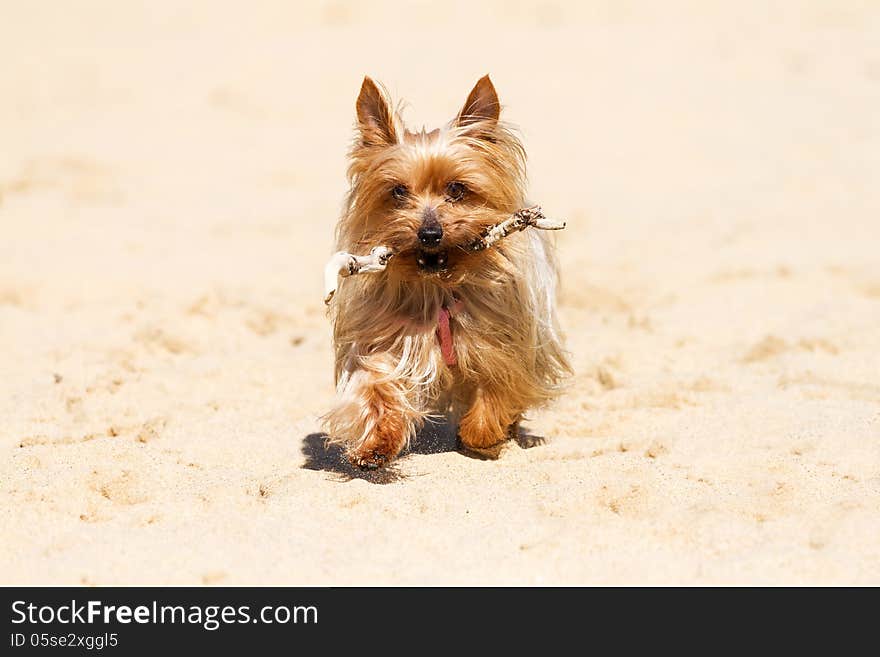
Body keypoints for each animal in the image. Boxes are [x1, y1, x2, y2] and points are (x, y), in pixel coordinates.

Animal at [324, 75, 572, 466]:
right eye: (398, 192)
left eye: (457, 189)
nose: (429, 234)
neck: (437, 288)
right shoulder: (387, 339)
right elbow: (376, 386)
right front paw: (376, 444)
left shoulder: (500, 344)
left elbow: (497, 389)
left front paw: (482, 435)